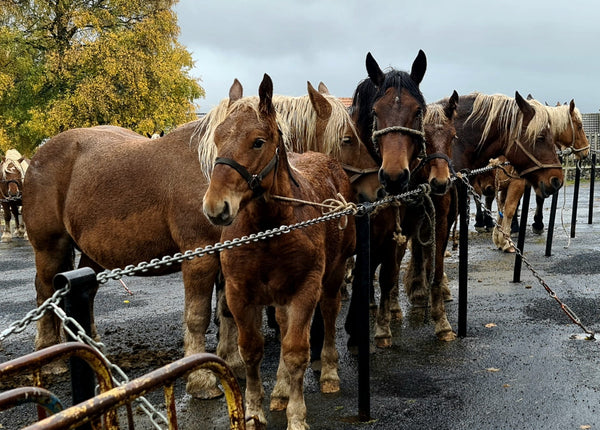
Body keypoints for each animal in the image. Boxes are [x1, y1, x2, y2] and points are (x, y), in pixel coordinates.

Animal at [203, 74, 356, 430]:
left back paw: (328, 372)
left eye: (258, 142)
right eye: (217, 137)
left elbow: (296, 351)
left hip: (333, 275)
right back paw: (281, 391)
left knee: (329, 313)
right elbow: (251, 350)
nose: (216, 207)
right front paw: (254, 410)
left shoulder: (305, 289)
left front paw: (297, 416)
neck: (268, 230)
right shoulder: (240, 294)